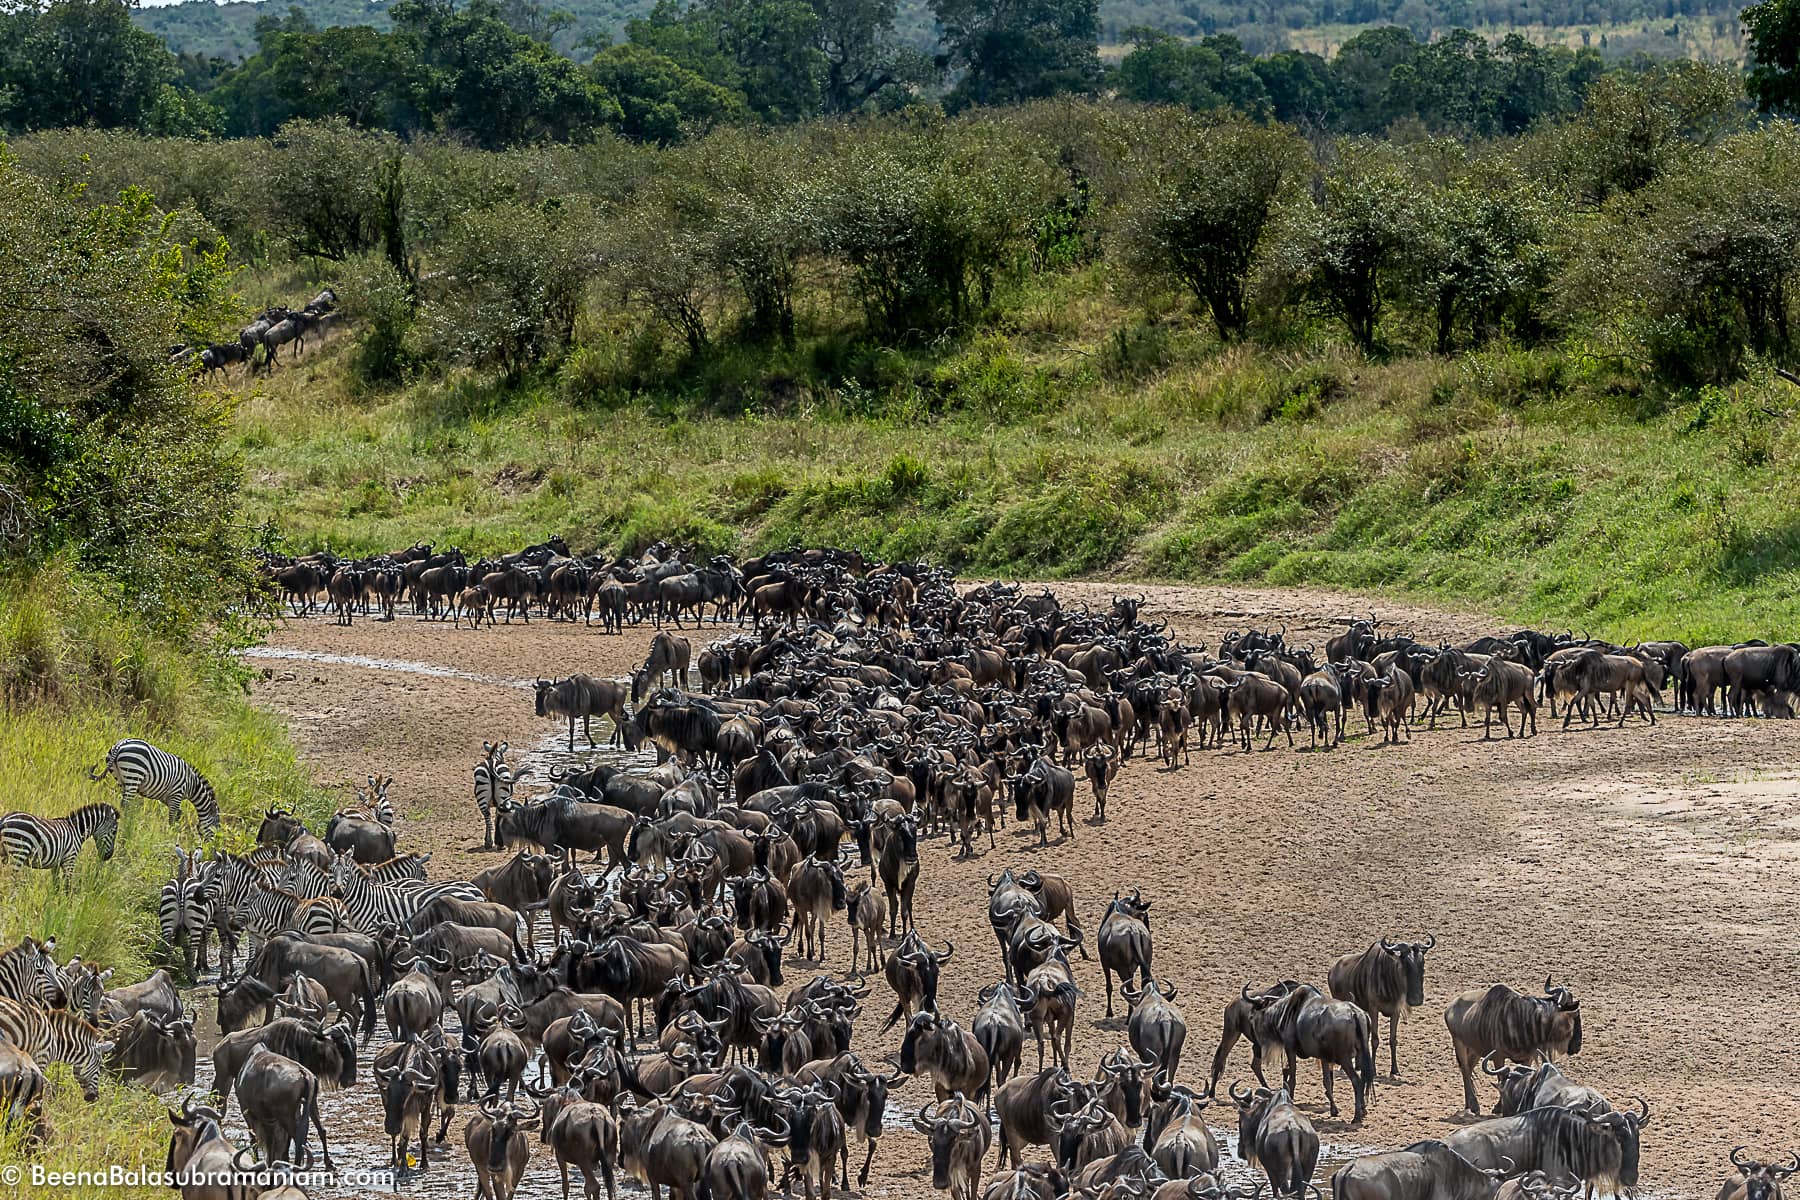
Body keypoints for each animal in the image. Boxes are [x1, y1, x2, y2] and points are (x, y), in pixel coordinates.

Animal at [90, 737, 219, 841]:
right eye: (216, 826)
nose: (211, 847)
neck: (192, 785)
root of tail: (120, 744)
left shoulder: (166, 798)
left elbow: (178, 814)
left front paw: (175, 831)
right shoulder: (176, 795)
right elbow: (172, 817)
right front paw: (171, 835)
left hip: (120, 778)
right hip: (134, 774)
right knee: (125, 804)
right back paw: (125, 824)